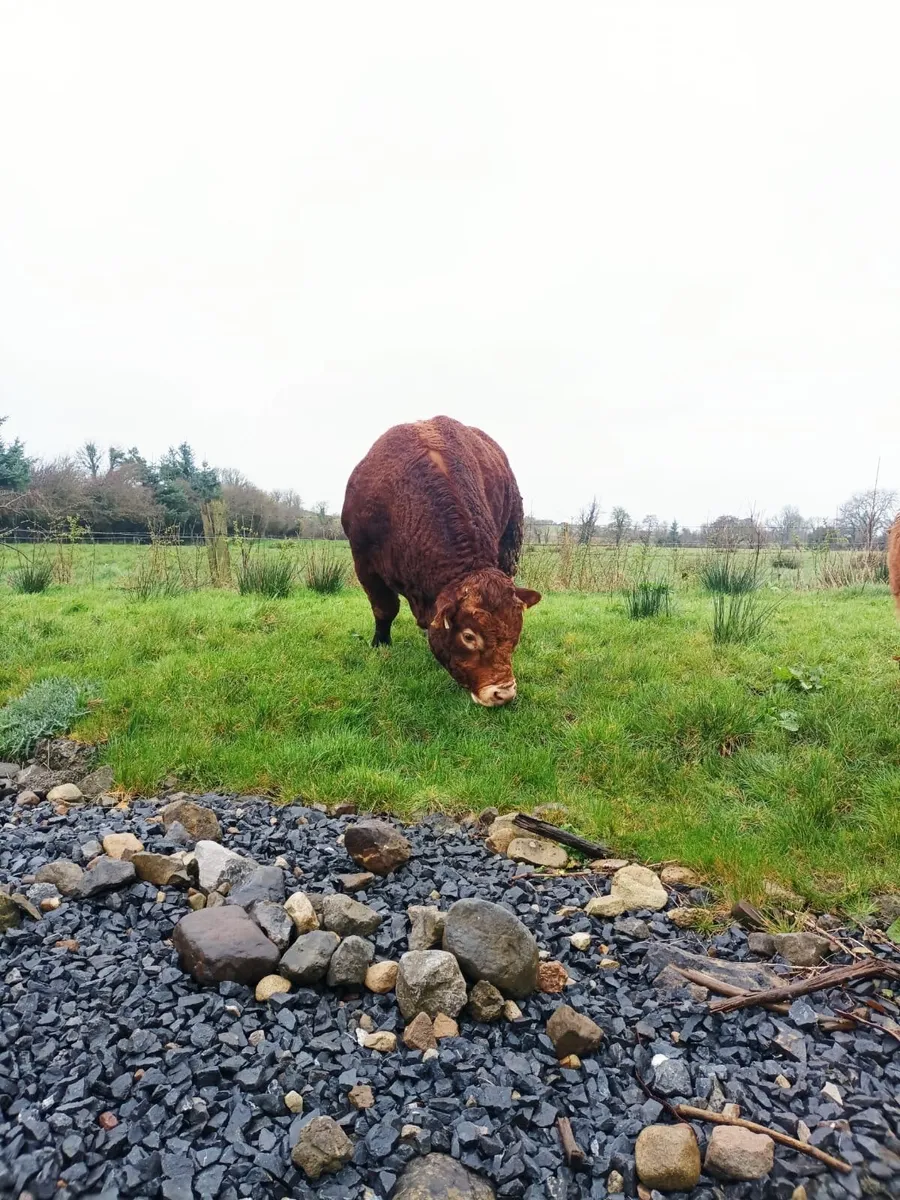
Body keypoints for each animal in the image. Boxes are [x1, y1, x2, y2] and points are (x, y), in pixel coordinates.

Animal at [341, 417, 541, 706]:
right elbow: (384, 608)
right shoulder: (364, 562)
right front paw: (380, 643)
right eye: (468, 636)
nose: (503, 693)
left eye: (516, 633)